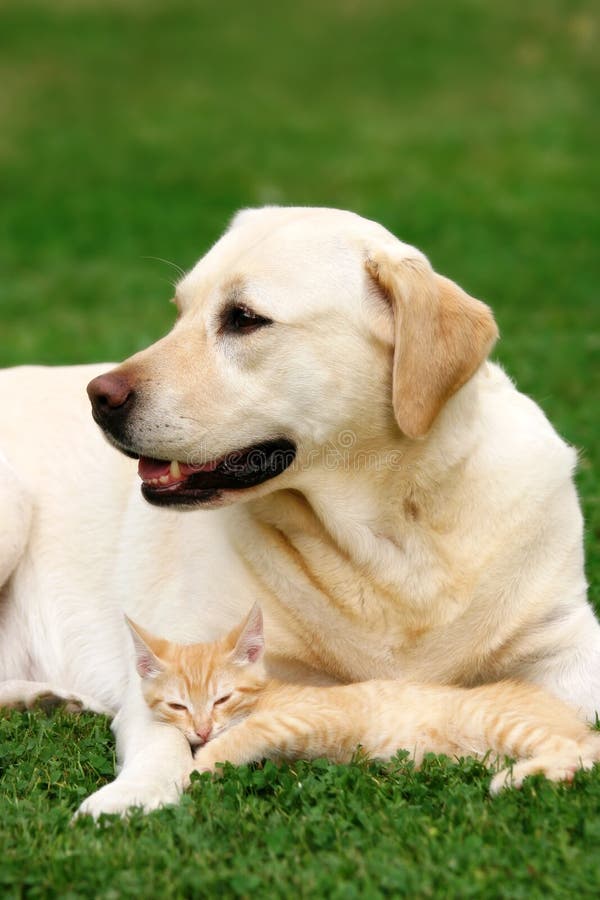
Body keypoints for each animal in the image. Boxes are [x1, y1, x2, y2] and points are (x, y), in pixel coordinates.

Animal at [124, 604, 596, 796]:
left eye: (223, 698)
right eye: (178, 706)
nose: (202, 728)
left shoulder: (315, 715)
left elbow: (249, 732)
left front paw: (196, 767)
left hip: (495, 720)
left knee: (574, 749)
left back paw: (513, 780)